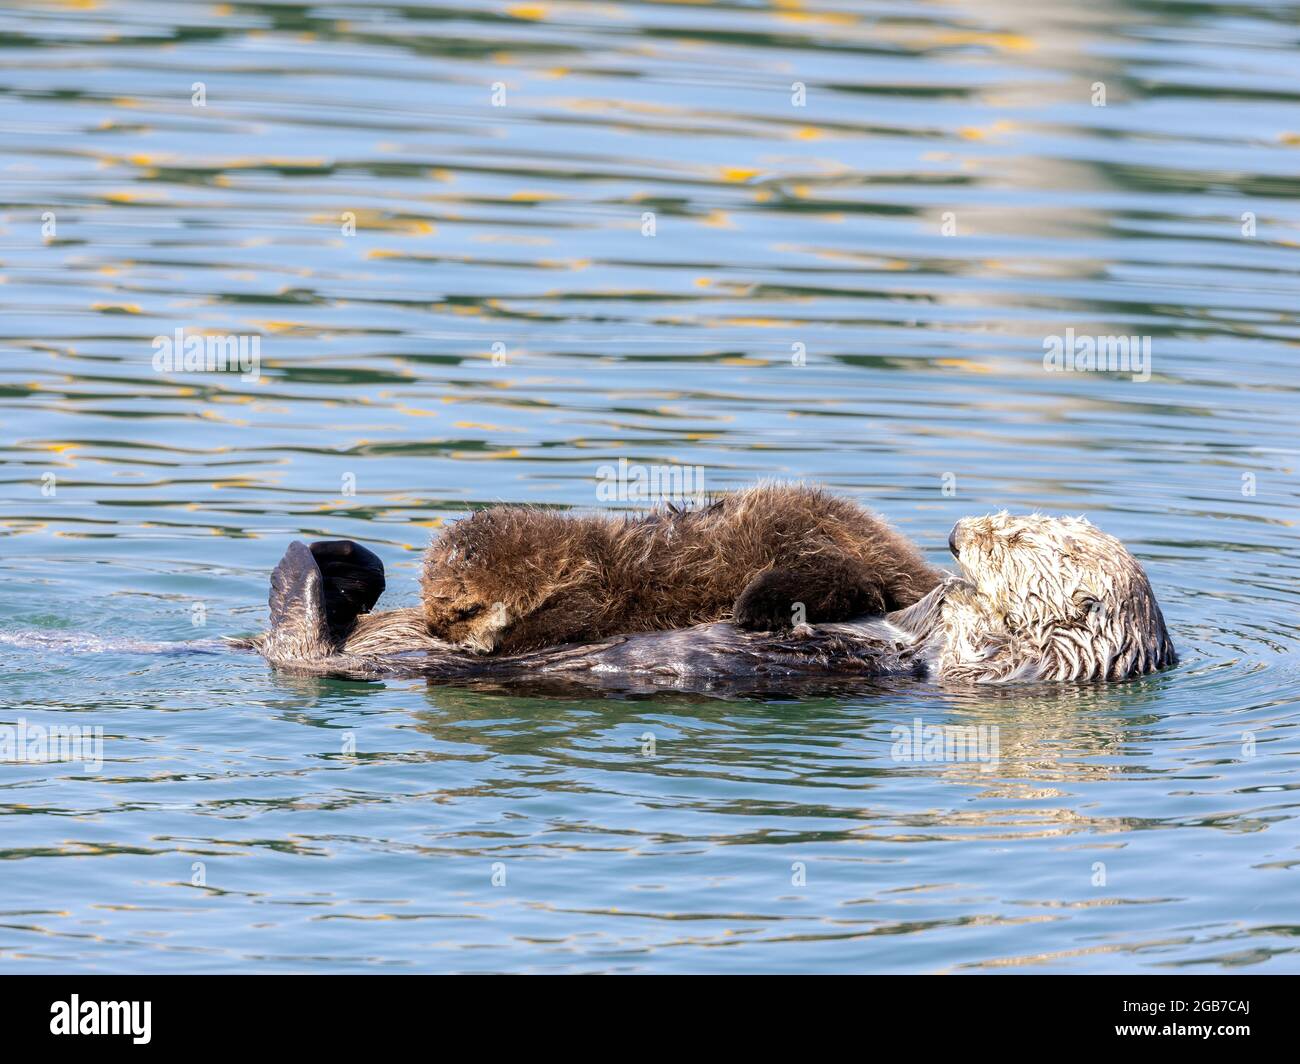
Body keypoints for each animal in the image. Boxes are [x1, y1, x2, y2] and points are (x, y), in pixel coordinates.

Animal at [420, 483, 941, 654]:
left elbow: (570, 620)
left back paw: (759, 603)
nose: (436, 631)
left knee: (859, 581)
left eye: (465, 611)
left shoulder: (592, 591)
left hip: (795, 533)